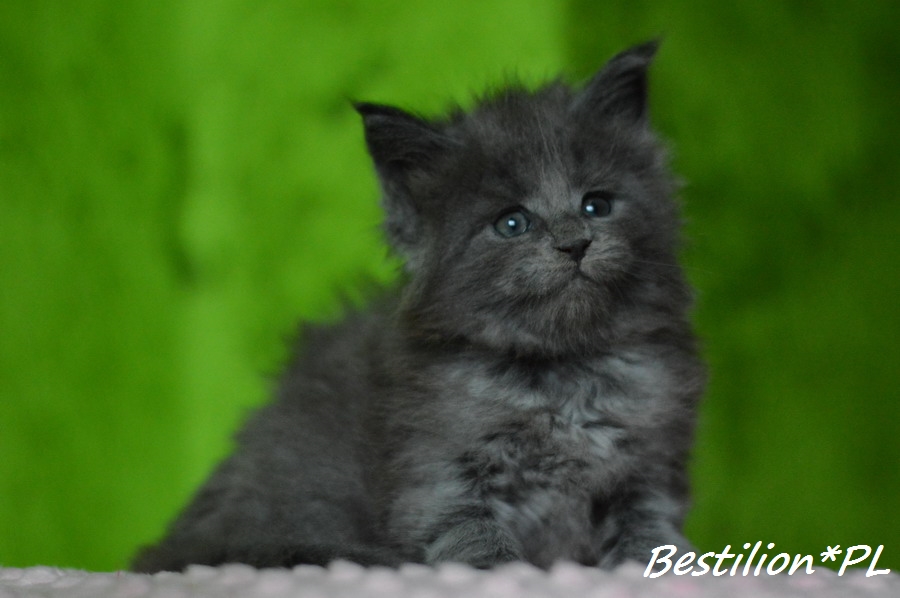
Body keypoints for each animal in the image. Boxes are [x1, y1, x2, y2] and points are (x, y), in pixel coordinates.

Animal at [132, 40, 705, 573]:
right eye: (512, 223)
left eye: (597, 205)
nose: (575, 243)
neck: (559, 378)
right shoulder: (437, 472)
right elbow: (472, 538)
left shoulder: (650, 469)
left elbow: (649, 532)